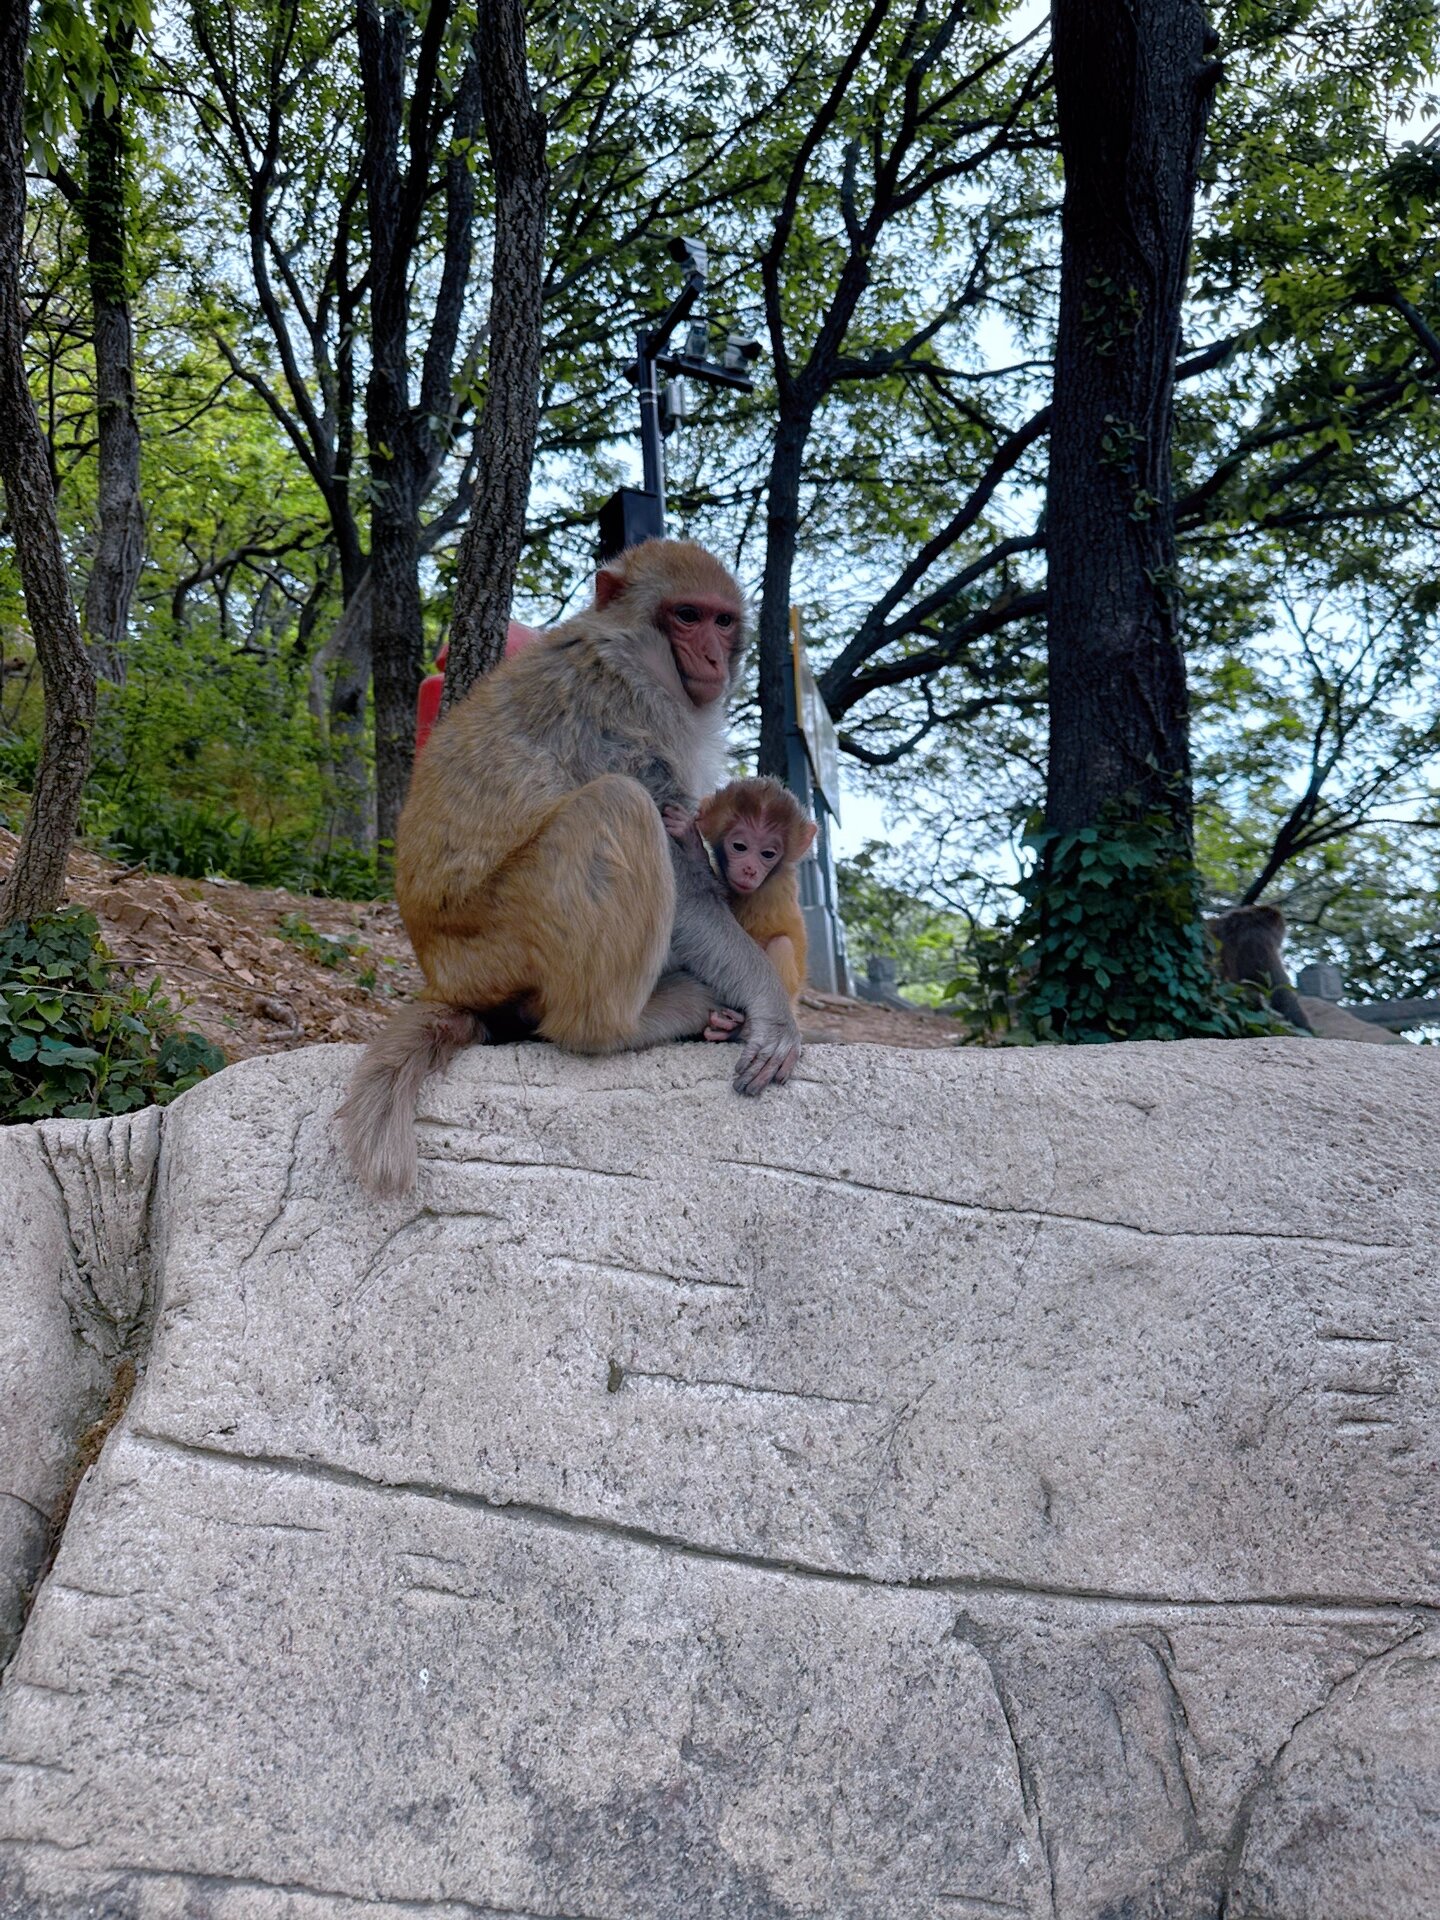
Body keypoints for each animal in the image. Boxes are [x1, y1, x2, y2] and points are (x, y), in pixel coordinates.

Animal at [668, 775, 817, 1044]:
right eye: (739, 846)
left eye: (768, 853)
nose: (749, 870)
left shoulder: (769, 888)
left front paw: (692, 842)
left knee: (781, 944)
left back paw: (740, 1029)